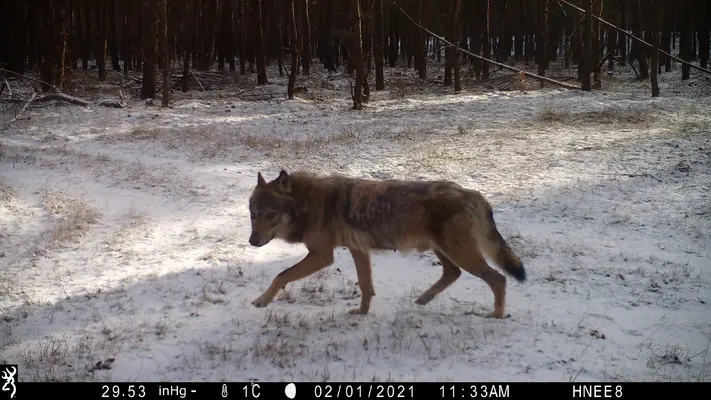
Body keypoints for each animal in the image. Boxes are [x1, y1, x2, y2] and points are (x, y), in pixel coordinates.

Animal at [248, 170, 524, 318]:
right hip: (443, 250)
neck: (307, 204)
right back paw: (424, 298)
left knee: (498, 279)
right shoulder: (358, 250)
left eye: (269, 215)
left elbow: (281, 275)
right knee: (452, 273)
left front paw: (262, 300)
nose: (251, 241)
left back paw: (496, 316)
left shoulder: (322, 256)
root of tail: (472, 193)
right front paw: (361, 313)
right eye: (253, 214)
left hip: (460, 253)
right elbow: (366, 285)